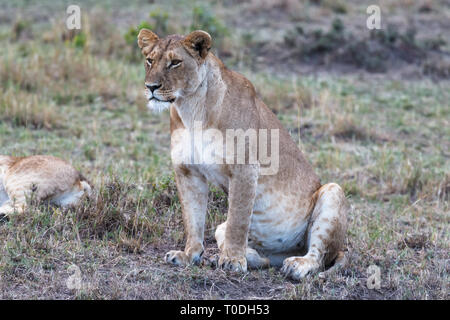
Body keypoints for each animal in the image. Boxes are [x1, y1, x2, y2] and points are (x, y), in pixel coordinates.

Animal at [137, 28, 348, 278]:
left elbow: (238, 219)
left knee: (319, 256)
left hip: (333, 192)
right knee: (263, 257)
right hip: (223, 228)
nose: (151, 87)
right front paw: (190, 255)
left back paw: (296, 265)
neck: (191, 108)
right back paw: (239, 257)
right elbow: (193, 218)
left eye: (175, 63)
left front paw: (233, 260)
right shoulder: (187, 171)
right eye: (149, 60)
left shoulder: (245, 169)